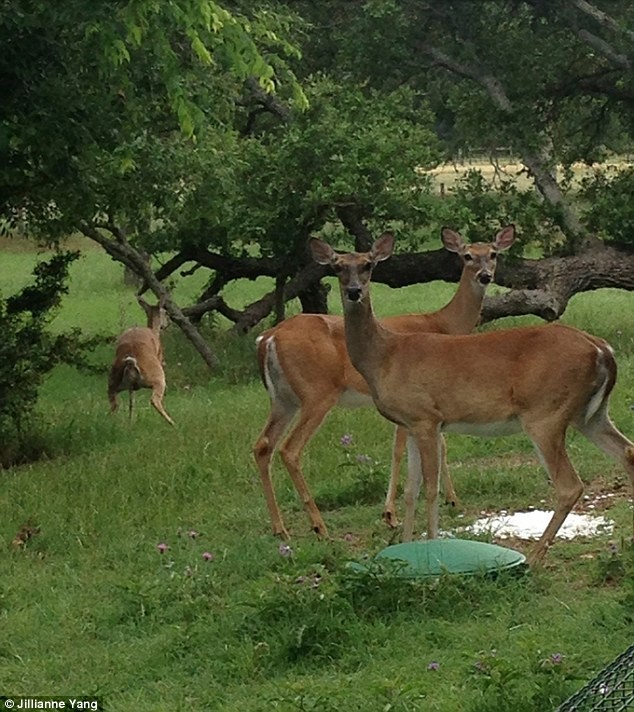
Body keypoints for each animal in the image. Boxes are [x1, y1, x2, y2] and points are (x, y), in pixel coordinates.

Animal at [107, 296, 174, 428]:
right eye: (165, 312)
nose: (168, 323)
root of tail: (131, 362)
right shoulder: (160, 355)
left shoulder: (130, 388)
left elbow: (131, 400)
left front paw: (130, 420)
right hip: (157, 376)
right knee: (154, 400)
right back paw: (172, 423)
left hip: (113, 381)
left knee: (115, 403)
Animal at [252, 228, 512, 540]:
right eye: (467, 255)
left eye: (493, 253)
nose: (485, 275)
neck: (443, 323)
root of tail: (268, 338)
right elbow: (411, 449)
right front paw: (396, 513)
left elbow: (430, 445)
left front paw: (442, 500)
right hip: (316, 392)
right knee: (290, 449)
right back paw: (318, 526)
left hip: (283, 398)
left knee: (262, 445)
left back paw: (280, 528)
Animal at [310, 231, 632, 564]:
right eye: (337, 266)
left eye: (368, 264)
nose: (354, 291)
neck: (385, 356)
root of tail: (601, 349)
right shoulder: (410, 423)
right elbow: (410, 490)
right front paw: (405, 548)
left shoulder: (426, 417)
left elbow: (430, 488)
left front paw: (433, 552)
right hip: (591, 414)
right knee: (627, 452)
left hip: (545, 413)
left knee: (569, 485)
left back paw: (533, 559)